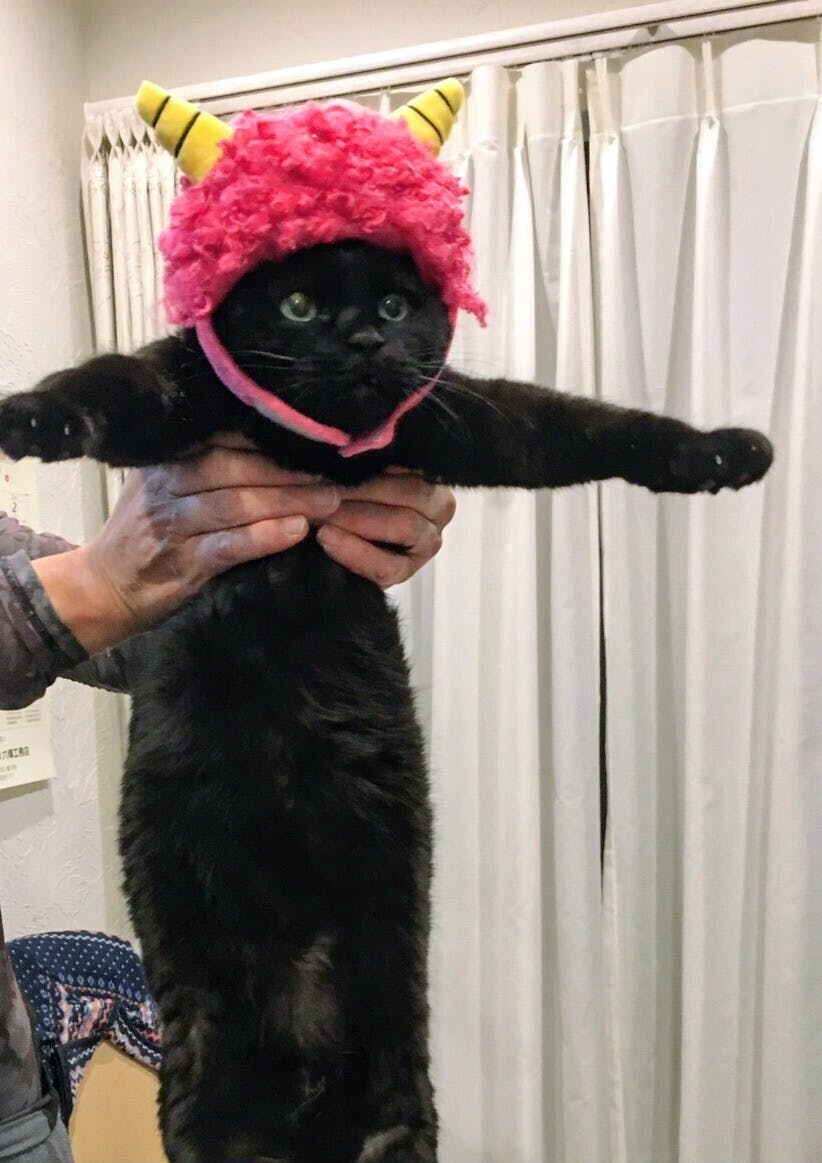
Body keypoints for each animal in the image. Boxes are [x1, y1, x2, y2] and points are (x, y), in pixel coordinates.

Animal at [0, 240, 773, 1163]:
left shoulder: (457, 418)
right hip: (209, 1096)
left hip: (395, 1097)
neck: (317, 454)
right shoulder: (179, 391)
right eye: (297, 304)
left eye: (399, 307)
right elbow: (104, 383)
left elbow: (586, 425)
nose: (365, 338)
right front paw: (28, 416)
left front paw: (724, 452)